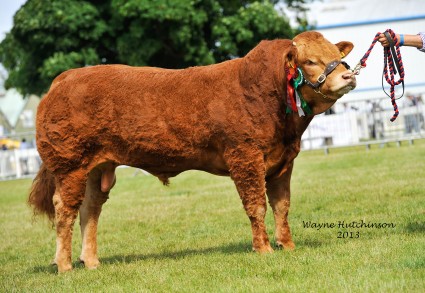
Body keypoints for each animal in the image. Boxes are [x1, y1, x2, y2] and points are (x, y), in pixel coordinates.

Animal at [28, 30, 356, 270]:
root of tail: (64, 78)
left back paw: (92, 262)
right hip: (70, 164)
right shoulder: (245, 157)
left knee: (89, 209)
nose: (348, 76)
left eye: (337, 56)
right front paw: (263, 248)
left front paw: (287, 245)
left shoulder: (283, 161)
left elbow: (282, 205)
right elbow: (256, 205)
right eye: (310, 61)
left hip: (97, 168)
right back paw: (64, 265)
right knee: (64, 209)